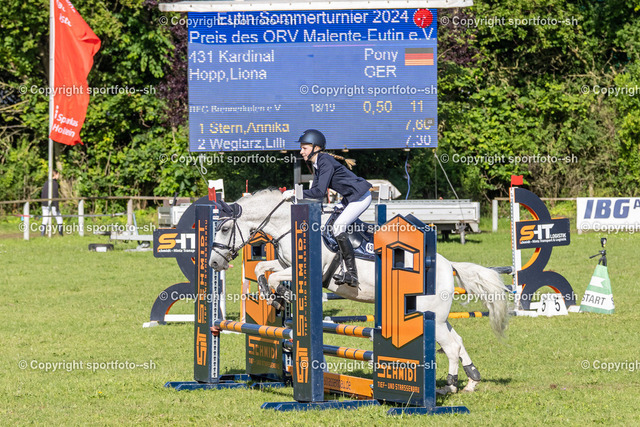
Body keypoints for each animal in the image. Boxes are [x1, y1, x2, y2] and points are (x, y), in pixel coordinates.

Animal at [209, 188, 510, 393]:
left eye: (225, 228)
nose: (213, 263)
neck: (288, 225)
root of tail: (448, 266)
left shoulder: (304, 268)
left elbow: (272, 277)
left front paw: (279, 296)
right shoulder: (284, 264)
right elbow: (263, 269)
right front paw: (278, 299)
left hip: (431, 317)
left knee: (450, 347)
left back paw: (449, 386)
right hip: (437, 316)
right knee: (456, 339)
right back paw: (471, 381)